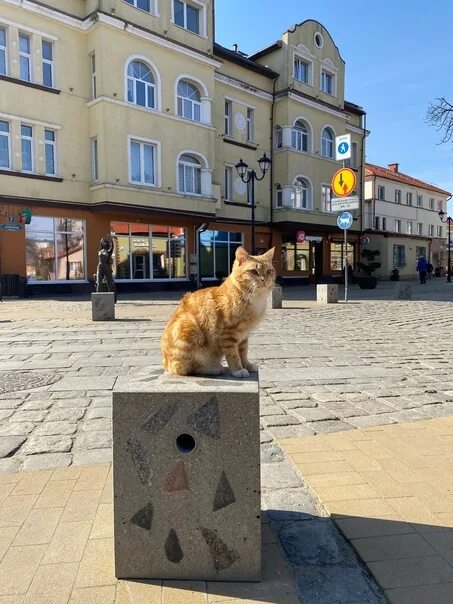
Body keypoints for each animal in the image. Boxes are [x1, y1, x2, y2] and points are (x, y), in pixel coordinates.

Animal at [162, 245, 276, 378]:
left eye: (268, 271)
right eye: (254, 271)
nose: (264, 280)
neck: (253, 298)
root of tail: (166, 364)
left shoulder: (243, 337)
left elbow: (243, 353)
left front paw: (247, 365)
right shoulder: (228, 335)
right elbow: (233, 355)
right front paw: (238, 369)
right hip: (190, 329)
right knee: (184, 369)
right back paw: (213, 368)